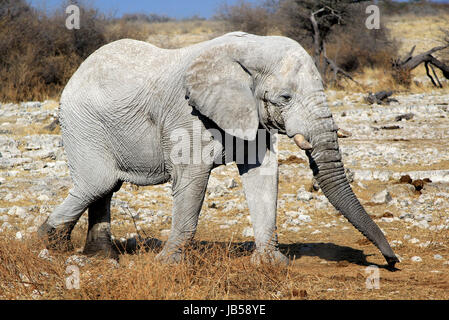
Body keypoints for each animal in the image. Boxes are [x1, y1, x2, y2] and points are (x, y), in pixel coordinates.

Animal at [36, 31, 398, 268]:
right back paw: (48, 242)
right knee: (98, 183)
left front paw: (271, 264)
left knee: (105, 188)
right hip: (82, 124)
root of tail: (77, 72)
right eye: (285, 98)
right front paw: (167, 265)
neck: (249, 48)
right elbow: (192, 179)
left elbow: (263, 174)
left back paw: (101, 257)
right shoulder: (187, 113)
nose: (392, 260)